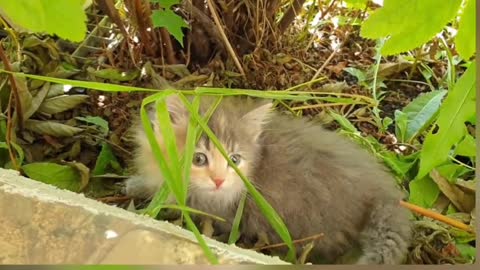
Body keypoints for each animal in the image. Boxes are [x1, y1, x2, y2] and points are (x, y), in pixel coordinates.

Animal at [126, 94, 412, 264]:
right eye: (198, 159)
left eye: (234, 159)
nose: (219, 181)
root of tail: (384, 191)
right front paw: (135, 184)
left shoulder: (219, 212)